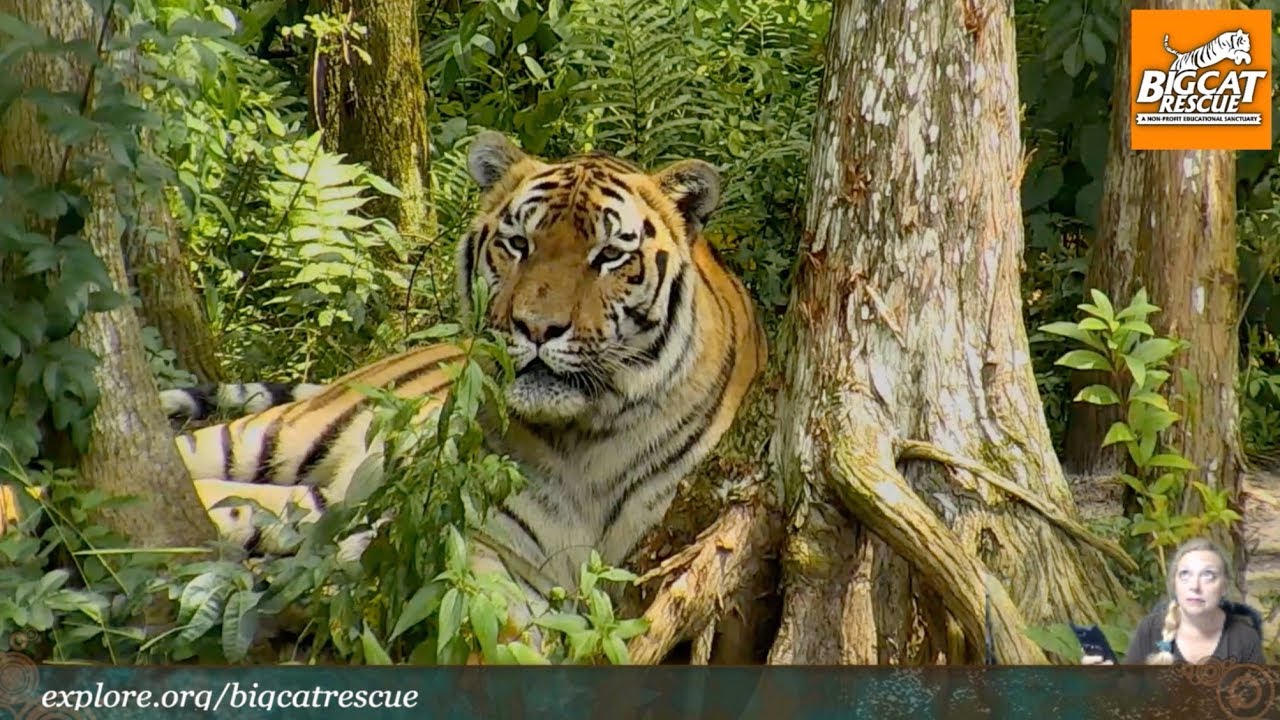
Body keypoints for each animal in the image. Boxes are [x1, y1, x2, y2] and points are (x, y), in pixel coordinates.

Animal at [1, 131, 767, 626]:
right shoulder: (481, 548)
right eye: (517, 243)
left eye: (609, 256)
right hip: (259, 440)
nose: (535, 328)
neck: (588, 441)